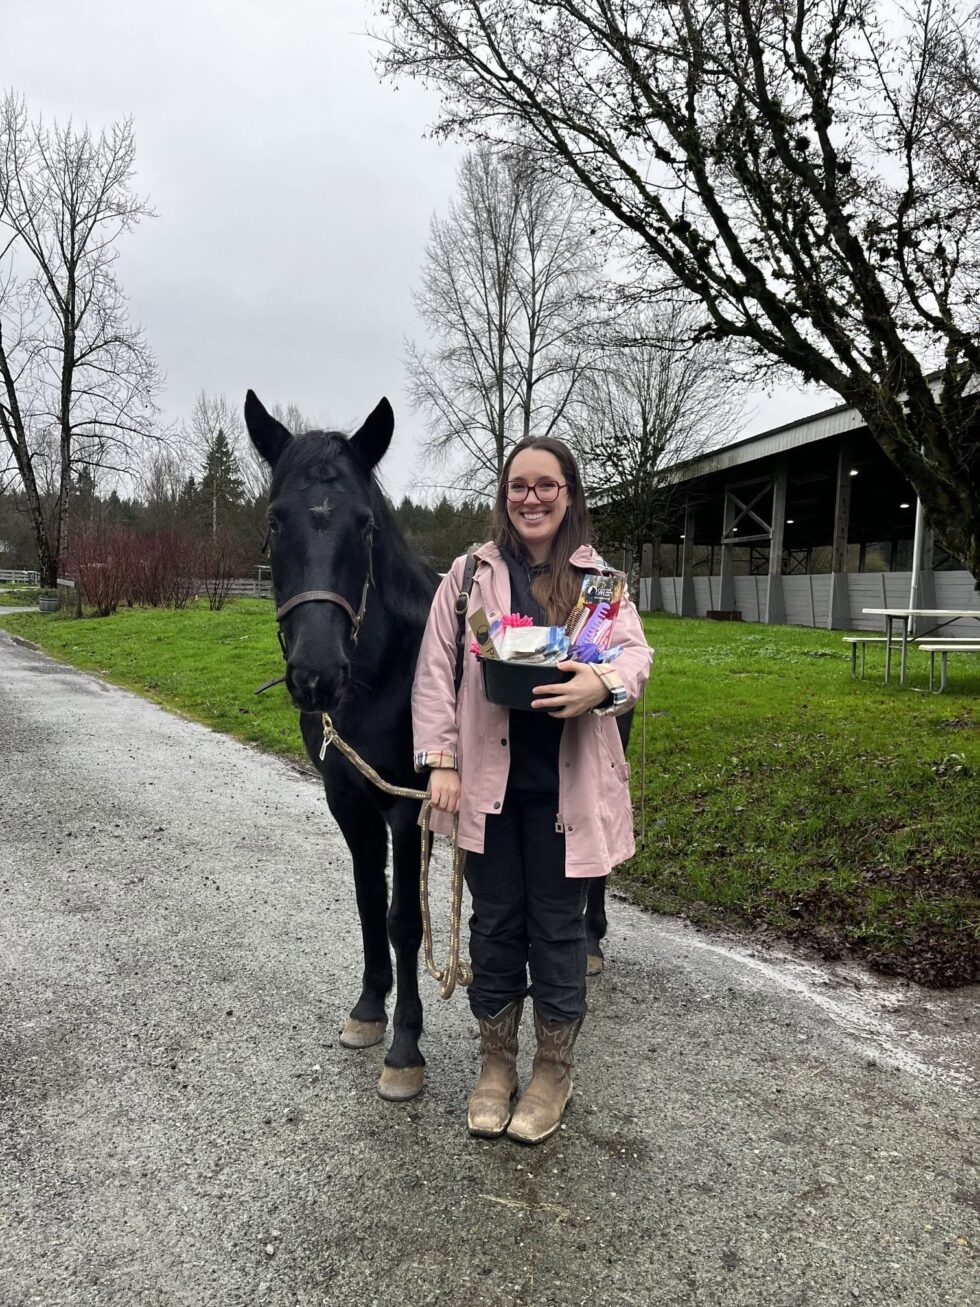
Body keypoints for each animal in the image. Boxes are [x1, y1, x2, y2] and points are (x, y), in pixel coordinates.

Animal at [244, 391, 613, 1099]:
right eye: (275, 522)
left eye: (365, 527)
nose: (316, 675)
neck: (384, 674)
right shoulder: (348, 800)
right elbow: (368, 899)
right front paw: (368, 1011)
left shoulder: (406, 807)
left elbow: (405, 920)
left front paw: (404, 1048)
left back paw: (592, 942)